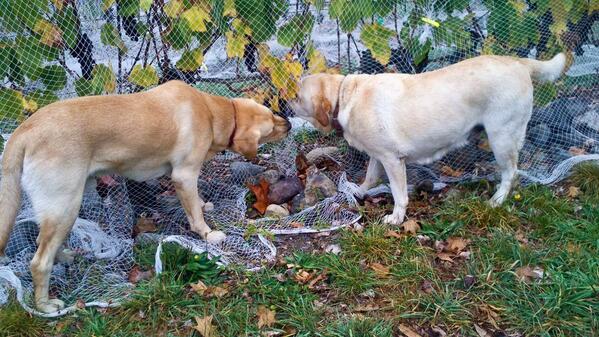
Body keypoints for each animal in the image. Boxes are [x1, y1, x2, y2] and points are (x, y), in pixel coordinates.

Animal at [0, 80, 290, 312]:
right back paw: (45, 305)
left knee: (42, 241)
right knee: (39, 262)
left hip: (59, 209)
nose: (287, 122)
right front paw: (207, 234)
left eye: (272, 113)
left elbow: (194, 202)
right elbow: (194, 214)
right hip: (66, 204)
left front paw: (202, 205)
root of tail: (24, 130)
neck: (210, 111)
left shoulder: (183, 176)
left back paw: (65, 258)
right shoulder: (184, 174)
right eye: (271, 127)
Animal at [290, 52, 572, 224]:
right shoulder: (378, 156)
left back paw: (497, 200)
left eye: (297, 96)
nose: (285, 102)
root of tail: (518, 62)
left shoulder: (393, 160)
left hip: (500, 137)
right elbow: (369, 177)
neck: (345, 95)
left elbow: (399, 194)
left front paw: (396, 218)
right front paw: (357, 192)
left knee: (510, 173)